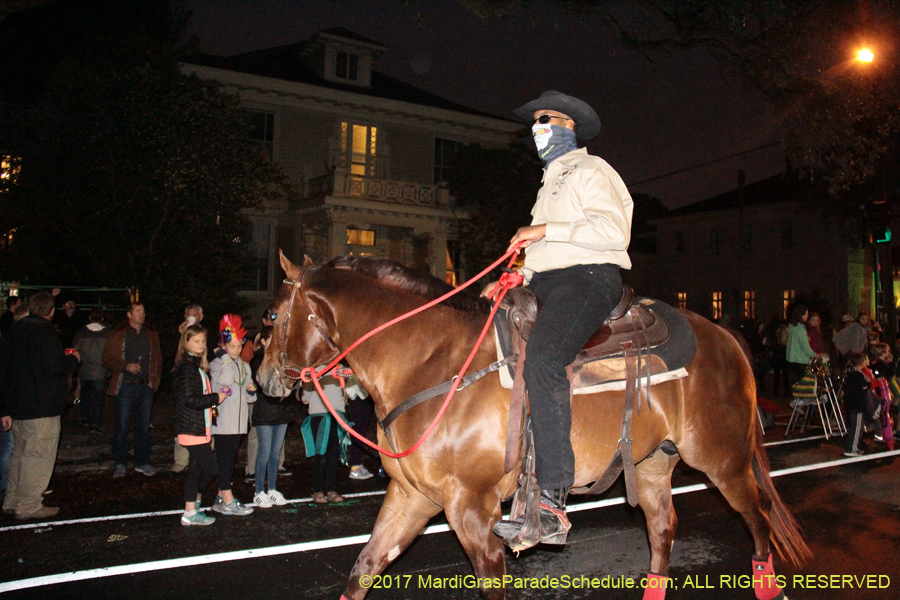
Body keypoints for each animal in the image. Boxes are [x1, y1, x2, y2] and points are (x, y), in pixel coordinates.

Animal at [258, 253, 808, 600]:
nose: (263, 380)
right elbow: (364, 569)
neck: (432, 363)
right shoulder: (411, 496)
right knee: (663, 530)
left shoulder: (472, 510)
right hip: (654, 464)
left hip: (724, 461)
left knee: (758, 522)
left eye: (272, 315)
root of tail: (728, 337)